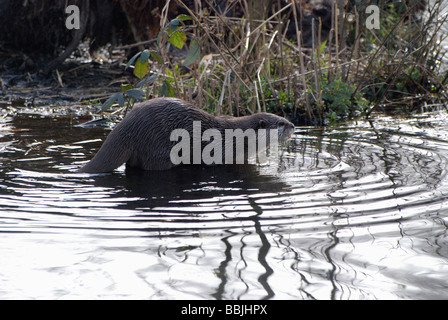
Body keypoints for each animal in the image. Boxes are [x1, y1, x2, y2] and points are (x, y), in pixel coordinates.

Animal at [78, 97, 294, 172]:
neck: (235, 139)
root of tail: (128, 126)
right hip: (158, 149)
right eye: (281, 123)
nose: (293, 125)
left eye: (283, 118)